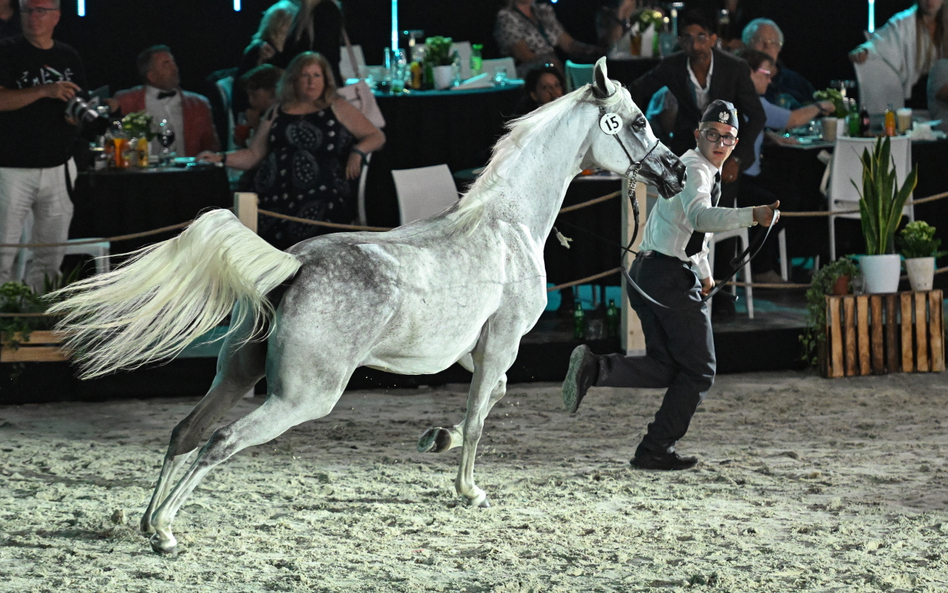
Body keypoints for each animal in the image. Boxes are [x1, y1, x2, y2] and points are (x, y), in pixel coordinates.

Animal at [50, 57, 680, 552]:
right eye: (640, 120)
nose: (673, 172)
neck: (508, 222)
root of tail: (292, 266)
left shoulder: (475, 351)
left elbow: (491, 398)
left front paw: (437, 438)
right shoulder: (502, 341)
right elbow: (480, 418)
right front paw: (469, 490)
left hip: (235, 373)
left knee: (186, 431)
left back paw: (146, 519)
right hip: (302, 396)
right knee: (219, 442)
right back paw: (165, 531)